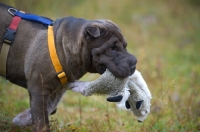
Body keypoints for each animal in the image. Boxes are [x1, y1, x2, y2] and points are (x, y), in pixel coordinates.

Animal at [0, 3, 137, 132]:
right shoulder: (39, 90)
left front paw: (24, 118)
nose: (134, 62)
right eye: (112, 48)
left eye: (125, 46)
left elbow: (49, 110)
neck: (61, 46)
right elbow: (42, 121)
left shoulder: (55, 90)